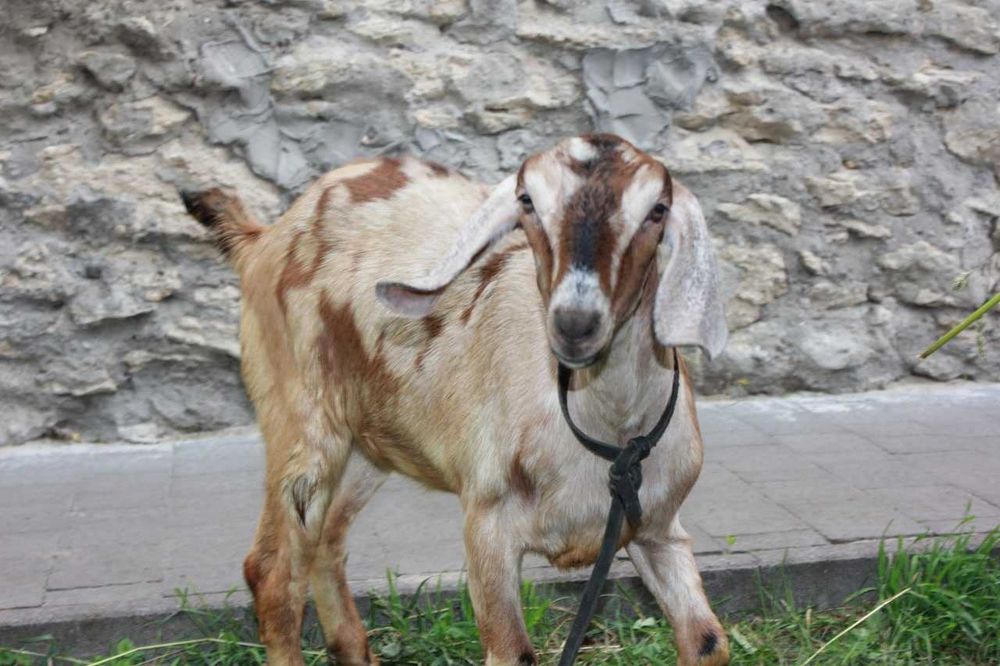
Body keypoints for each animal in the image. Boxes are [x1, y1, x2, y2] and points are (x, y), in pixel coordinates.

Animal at [181, 133, 730, 666]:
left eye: (657, 210)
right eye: (527, 201)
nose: (575, 322)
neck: (610, 437)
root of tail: (264, 237)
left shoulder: (659, 530)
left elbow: (708, 641)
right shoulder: (487, 526)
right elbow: (513, 652)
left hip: (368, 444)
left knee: (326, 542)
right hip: (301, 420)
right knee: (271, 573)